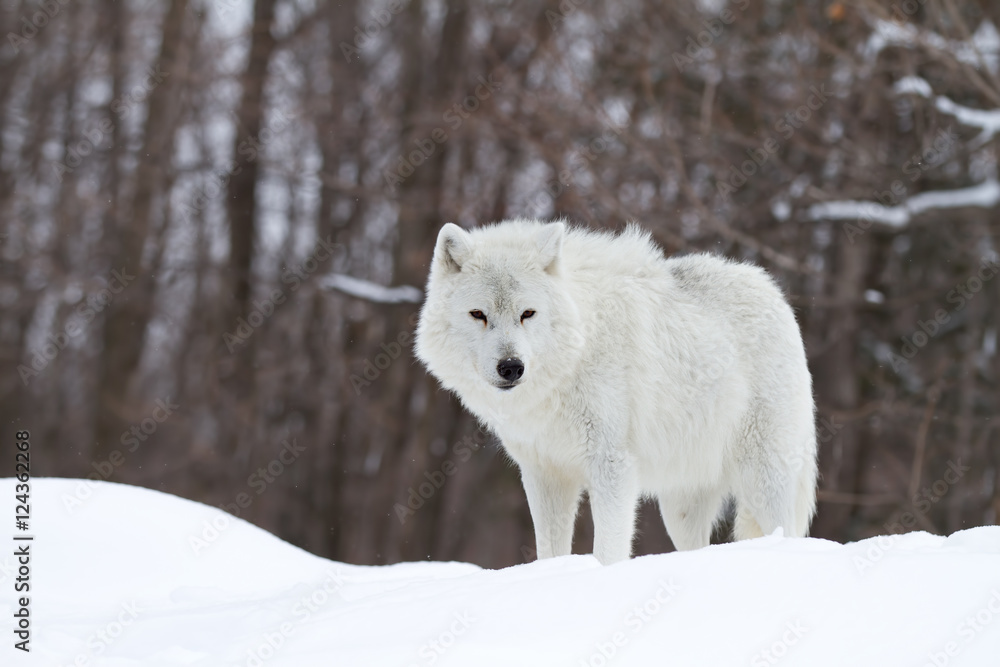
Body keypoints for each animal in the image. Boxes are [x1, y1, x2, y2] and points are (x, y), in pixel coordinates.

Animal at [414, 219, 817, 565]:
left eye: (527, 313)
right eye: (478, 314)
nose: (512, 367)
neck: (574, 357)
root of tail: (774, 292)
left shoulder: (612, 465)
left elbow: (608, 549)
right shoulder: (544, 473)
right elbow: (550, 550)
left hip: (764, 479)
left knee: (786, 531)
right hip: (681, 505)